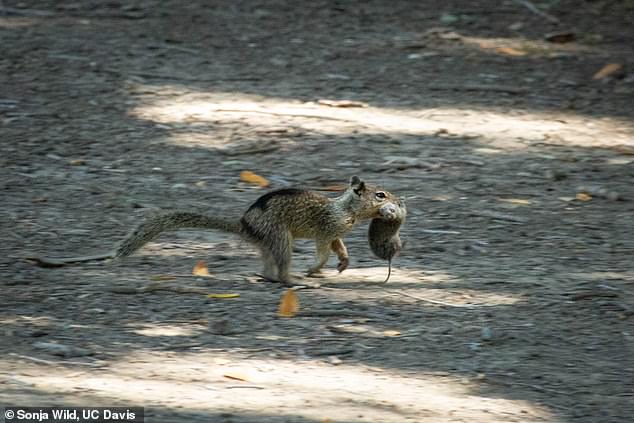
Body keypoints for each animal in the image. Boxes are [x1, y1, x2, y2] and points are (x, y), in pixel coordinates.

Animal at [29, 176, 400, 288]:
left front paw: (343, 263)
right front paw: (316, 268)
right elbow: (324, 248)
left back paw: (267, 276)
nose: (399, 200)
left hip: (271, 242)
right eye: (380, 195)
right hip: (280, 238)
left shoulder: (337, 232)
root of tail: (244, 225)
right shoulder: (325, 229)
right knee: (279, 270)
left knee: (267, 268)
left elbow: (339, 247)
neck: (346, 209)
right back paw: (296, 280)